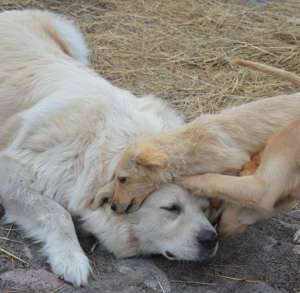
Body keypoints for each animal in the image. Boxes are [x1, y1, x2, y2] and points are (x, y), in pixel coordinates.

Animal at [0, 10, 217, 286]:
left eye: (204, 208)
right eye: (171, 208)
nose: (211, 239)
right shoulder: (11, 171)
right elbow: (58, 214)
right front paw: (71, 259)